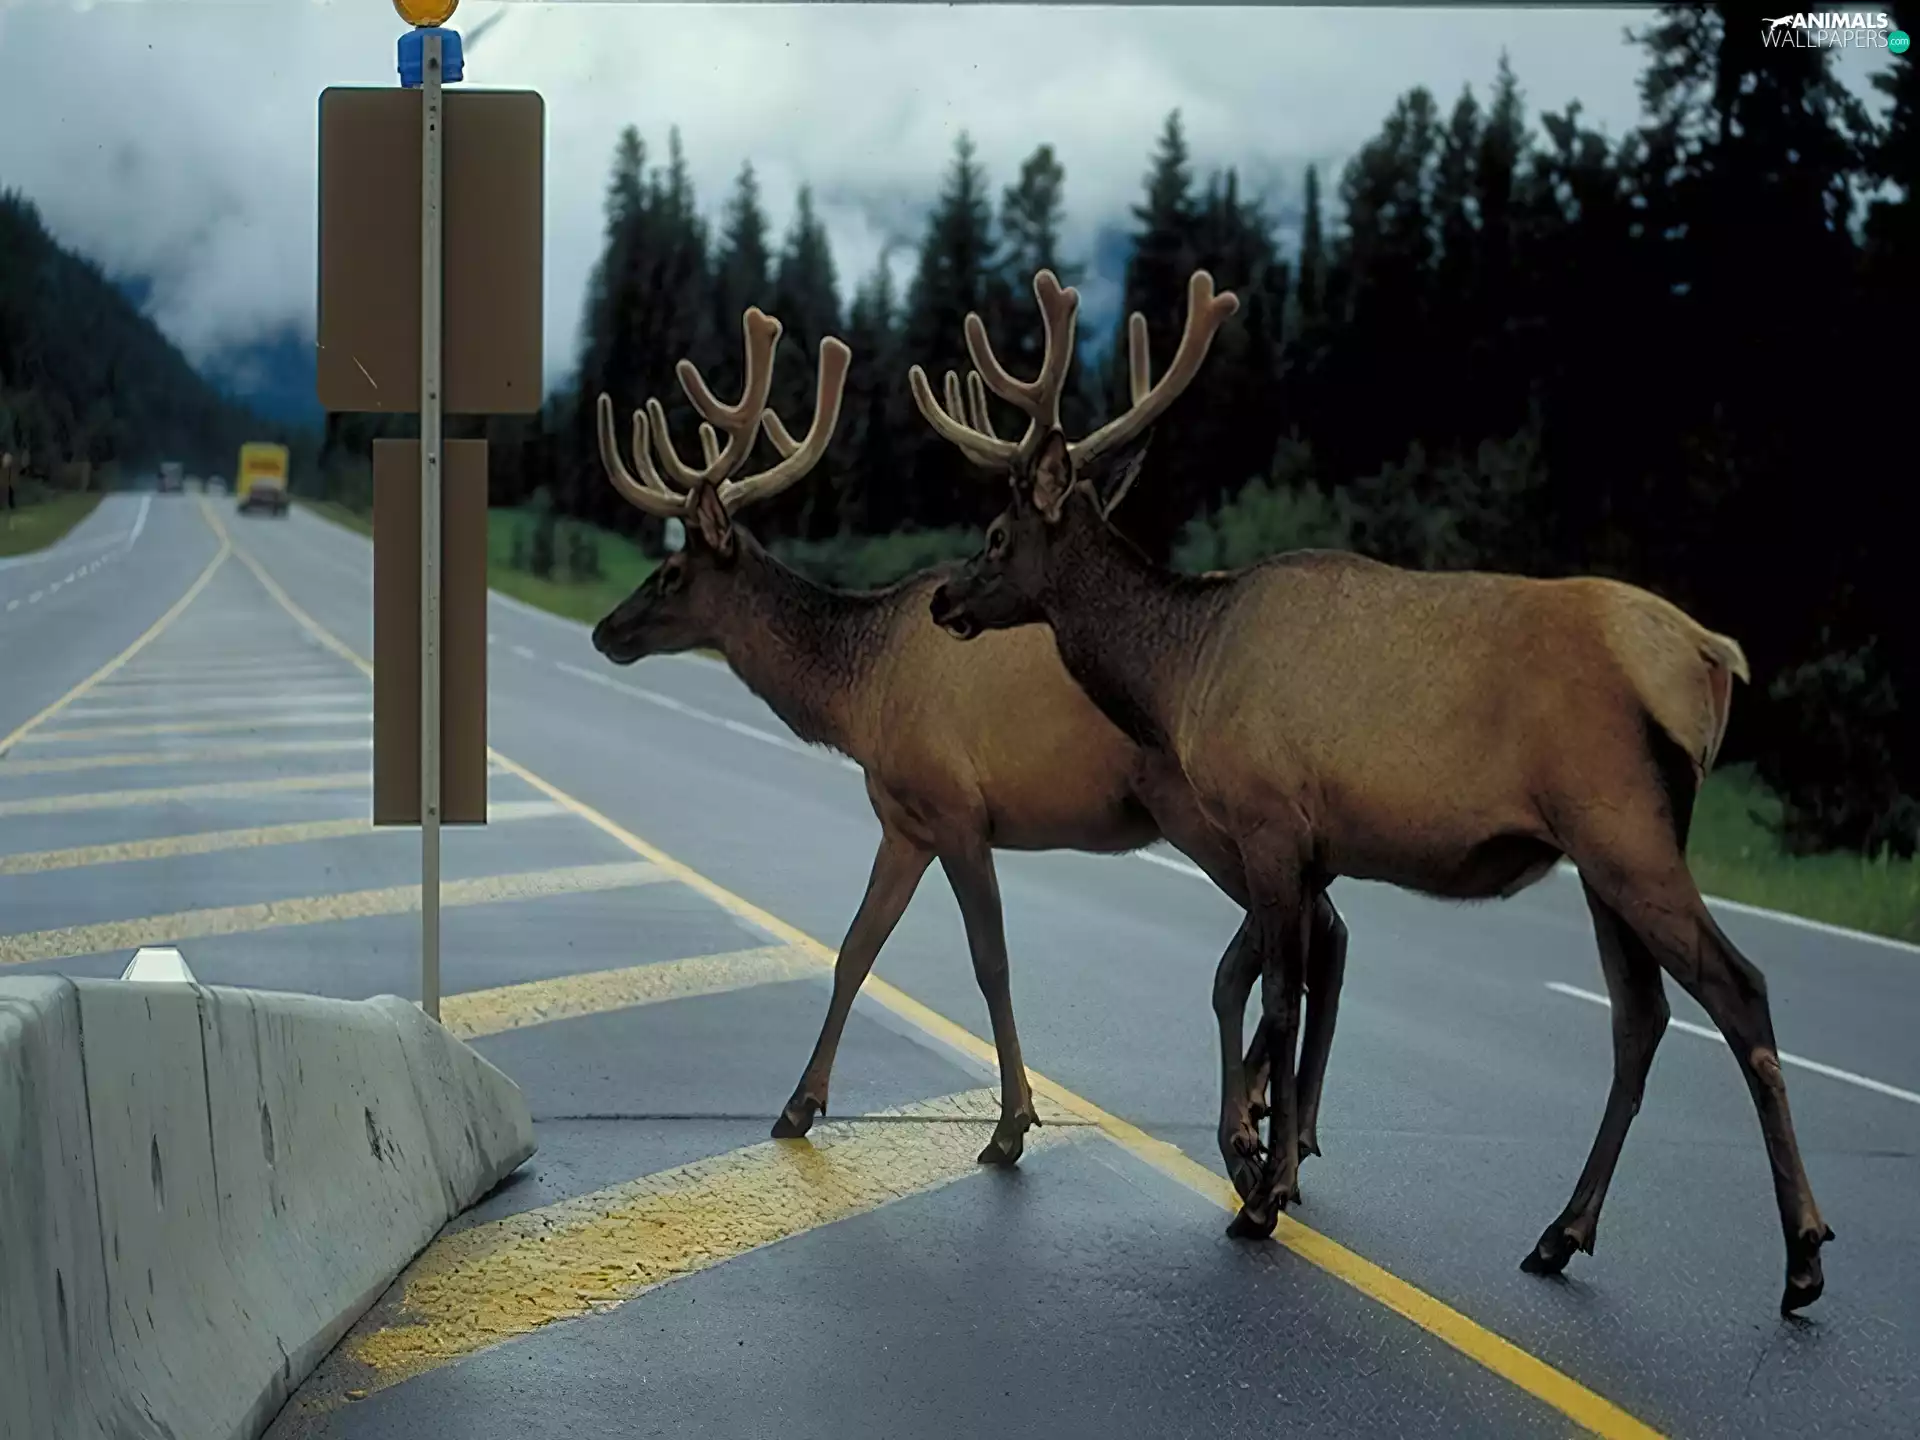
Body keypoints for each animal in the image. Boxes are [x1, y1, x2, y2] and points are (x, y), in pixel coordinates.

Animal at [589, 305, 1351, 1172]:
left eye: (672, 574)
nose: (605, 630)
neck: (856, 694)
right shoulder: (904, 823)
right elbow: (855, 948)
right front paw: (798, 1105)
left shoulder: (957, 810)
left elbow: (991, 961)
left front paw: (1011, 1124)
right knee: (1324, 926)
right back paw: (1292, 1120)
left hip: (1203, 813)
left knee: (1312, 927)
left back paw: (1265, 1115)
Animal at [919, 267, 1834, 1316]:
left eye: (996, 534)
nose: (943, 598)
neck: (1180, 667)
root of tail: (1710, 658)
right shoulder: (1307, 845)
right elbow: (1270, 979)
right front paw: (1265, 1156)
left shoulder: (1268, 818)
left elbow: (1278, 993)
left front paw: (1262, 1191)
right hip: (1609, 851)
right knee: (1639, 1017)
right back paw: (1562, 1232)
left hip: (1621, 826)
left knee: (1738, 988)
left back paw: (1802, 1255)